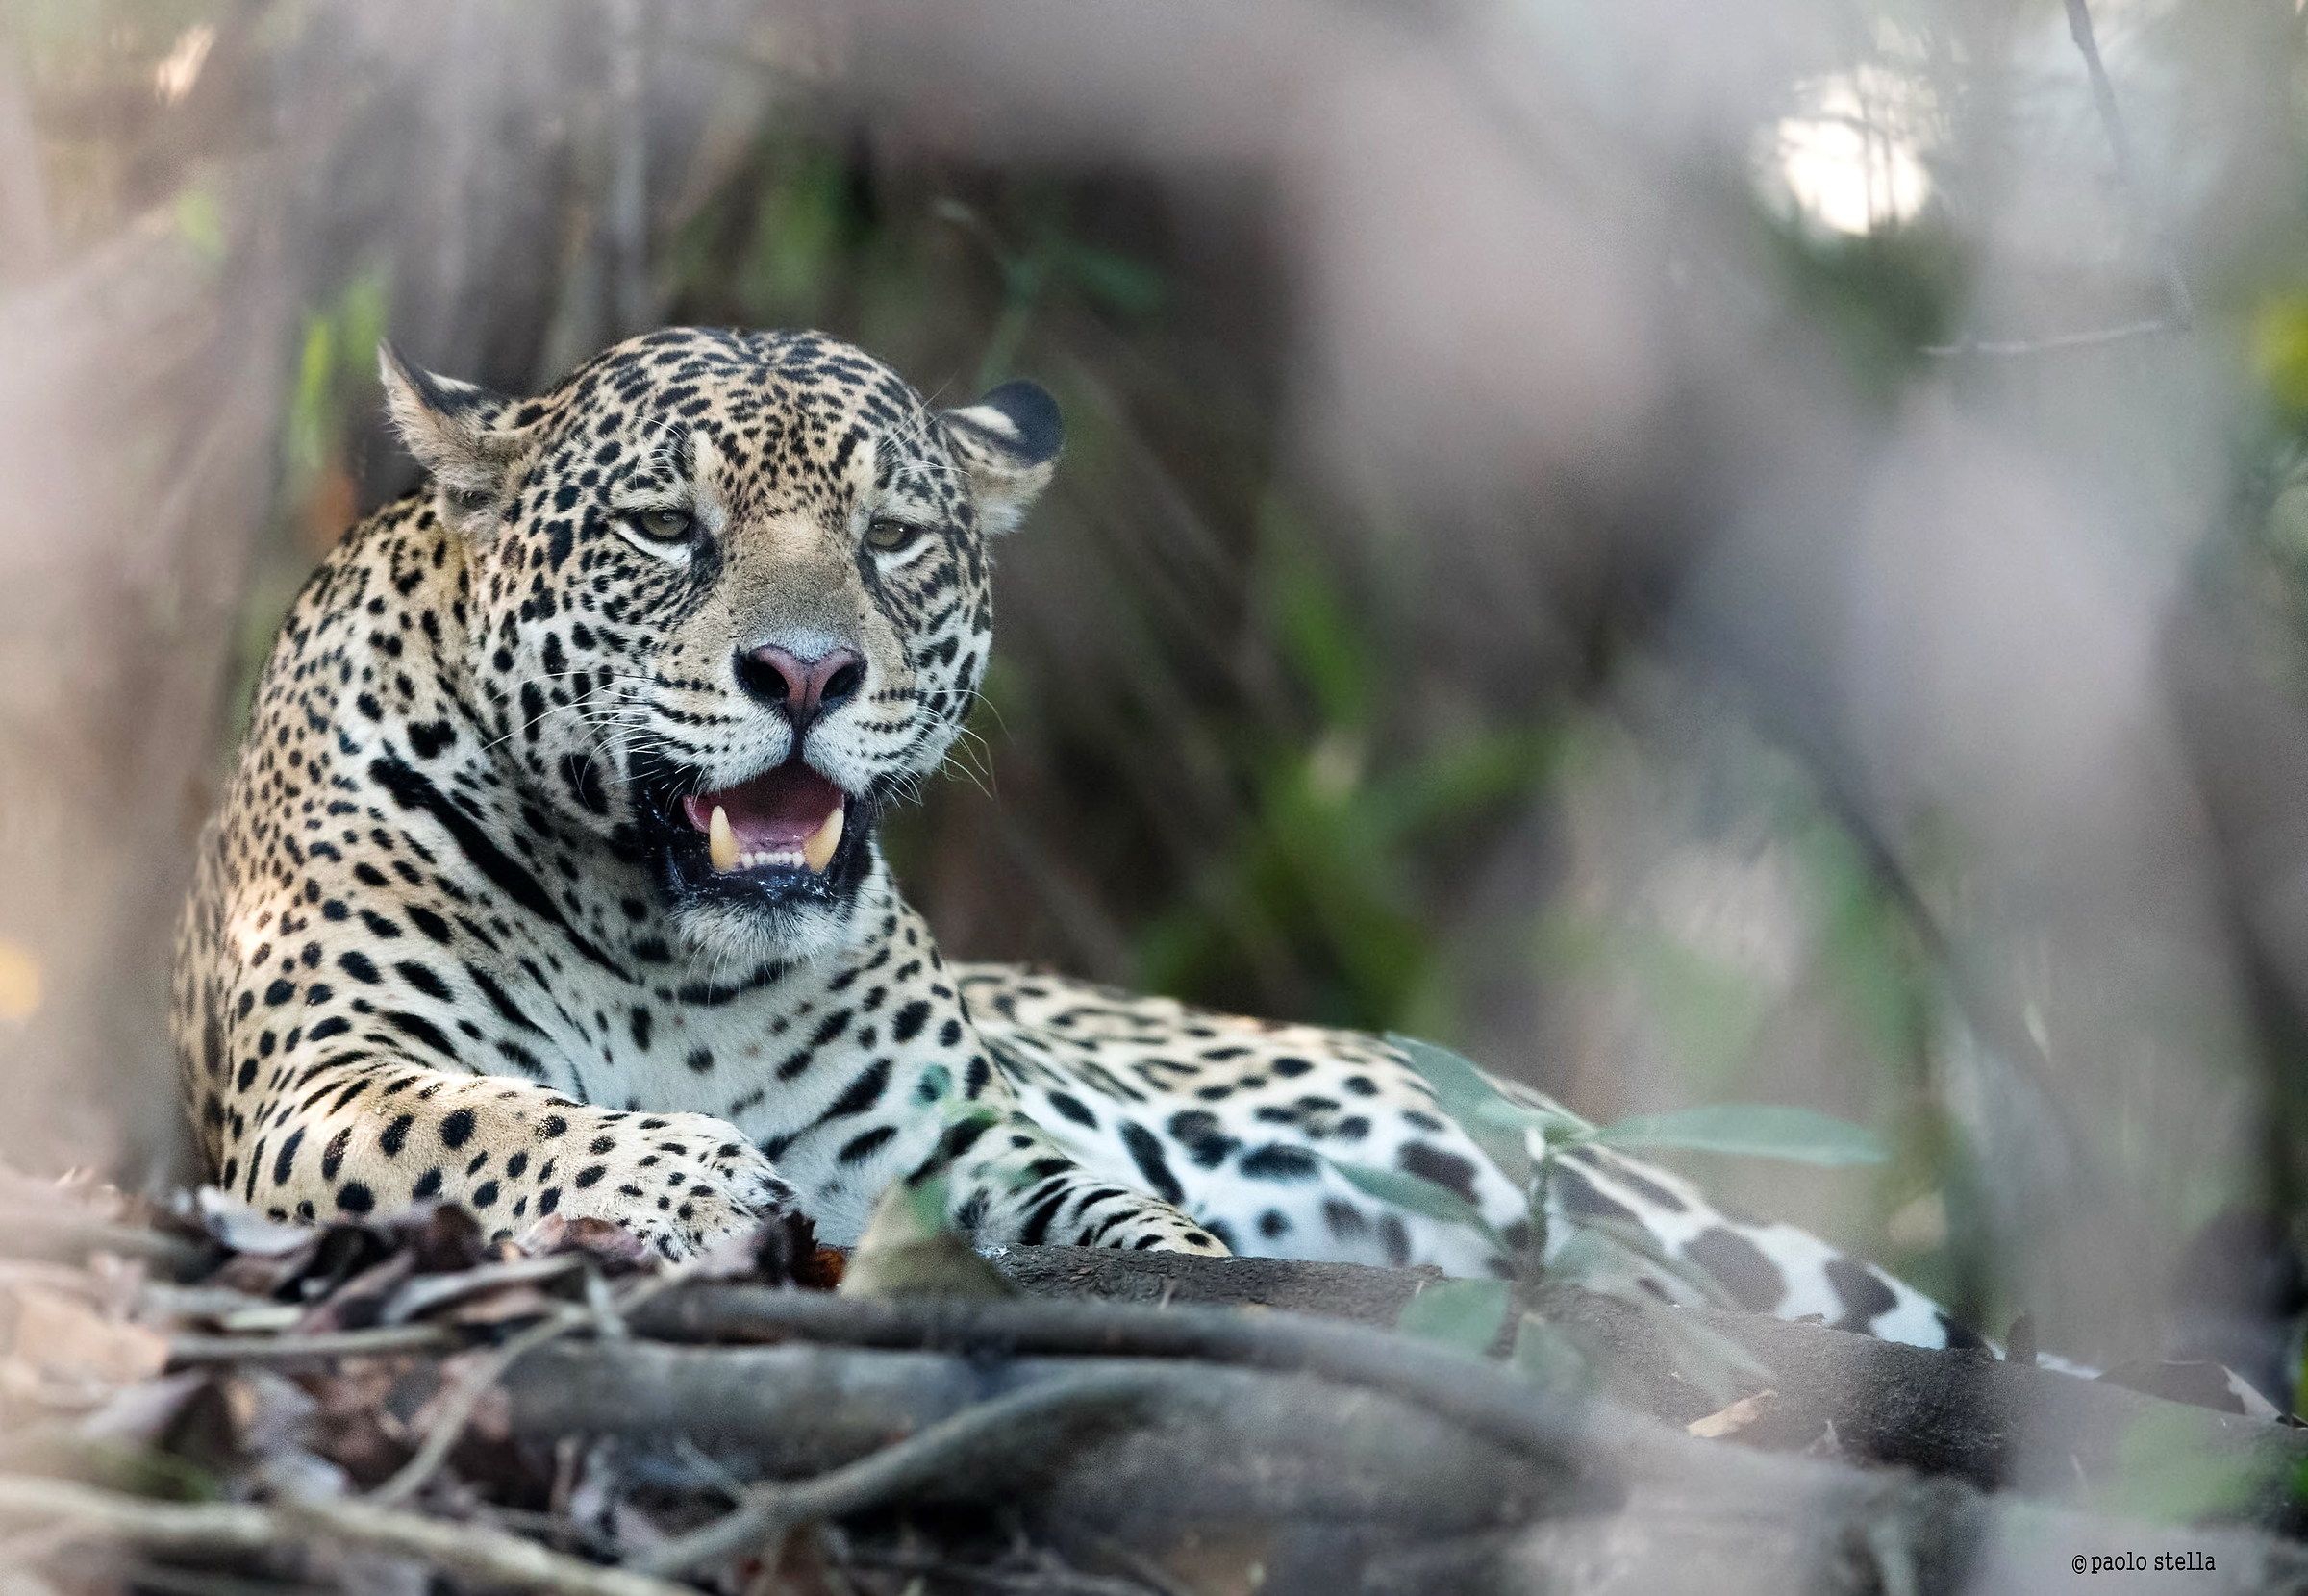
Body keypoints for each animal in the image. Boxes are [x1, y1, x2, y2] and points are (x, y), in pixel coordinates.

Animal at [171, 325, 1979, 1356]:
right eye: (665, 529)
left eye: (894, 539)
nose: (806, 673)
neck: (660, 948)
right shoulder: (328, 1083)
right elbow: (494, 1117)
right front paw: (693, 1177)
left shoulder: (958, 1147)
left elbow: (1122, 1223)